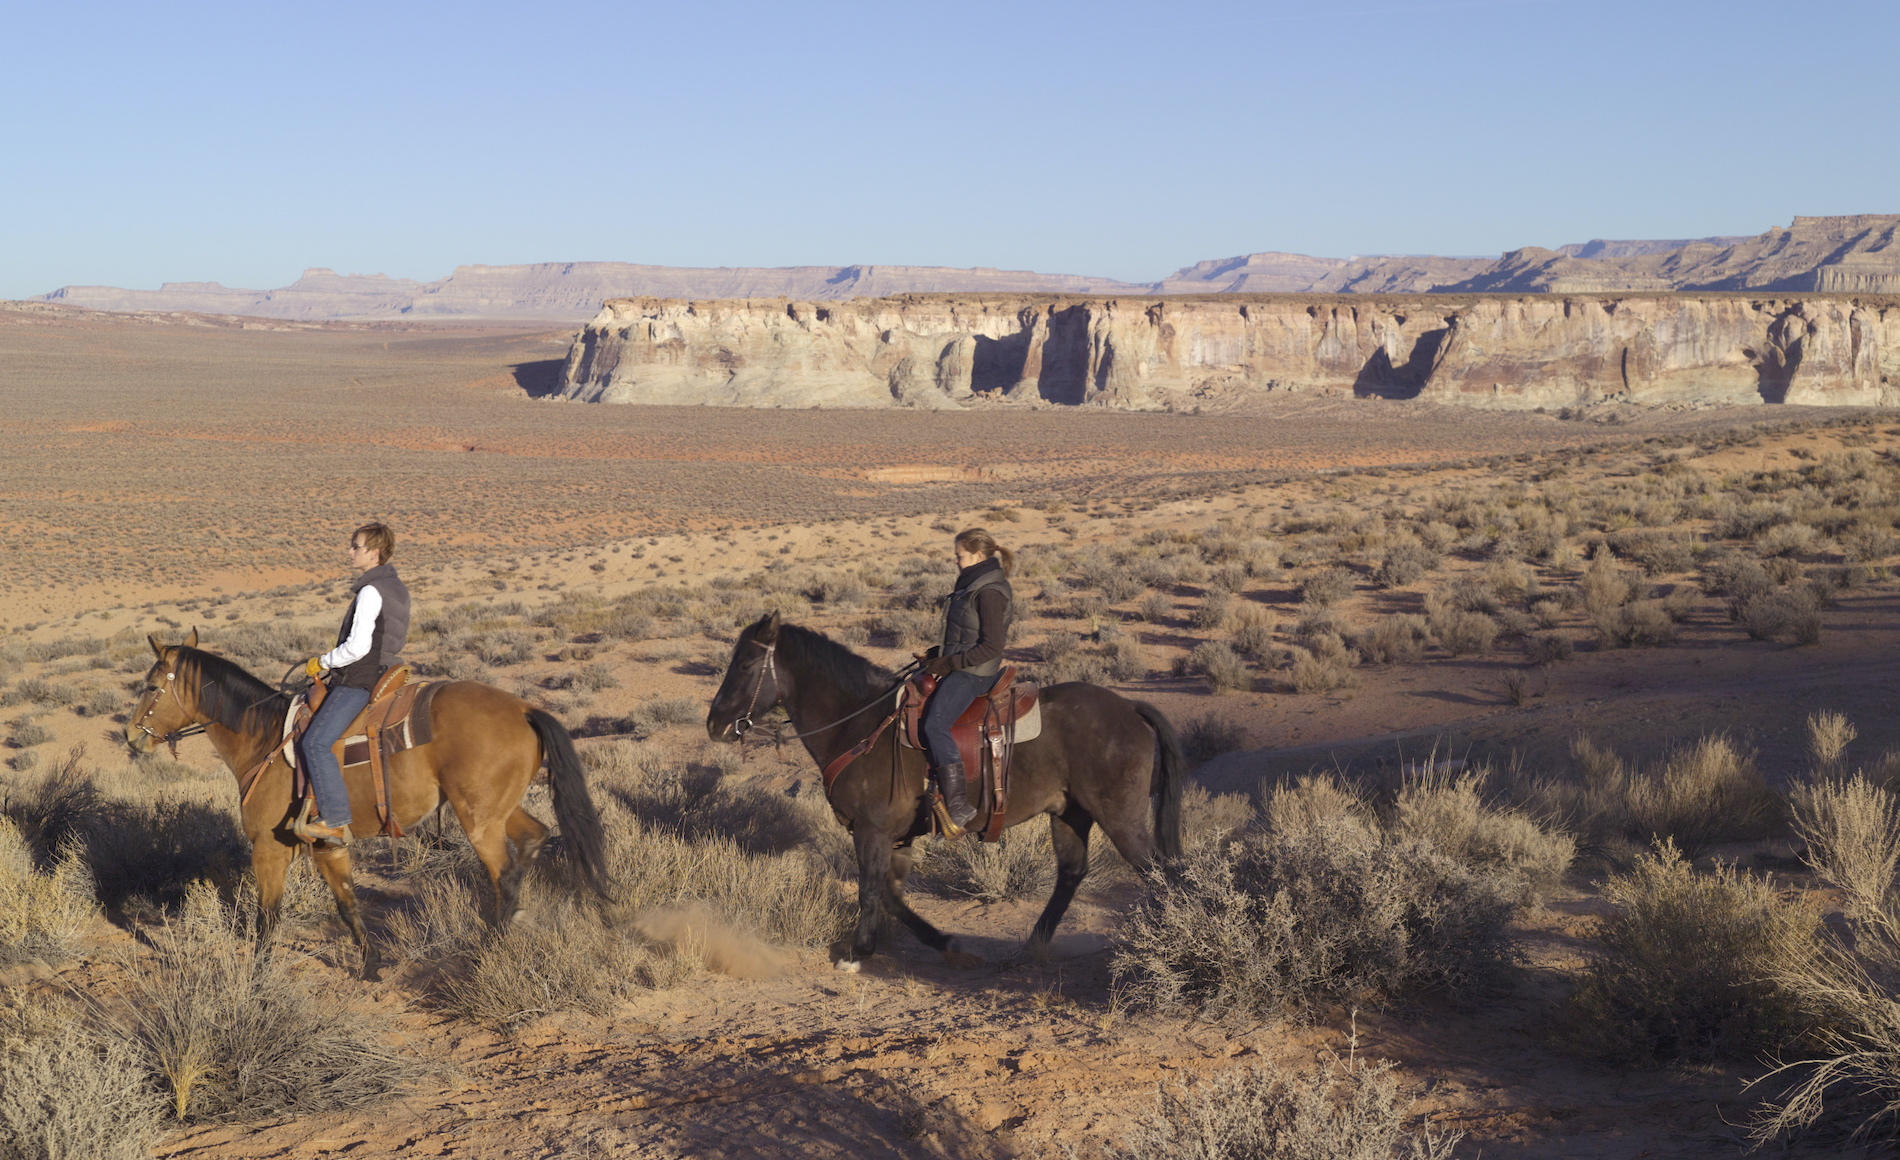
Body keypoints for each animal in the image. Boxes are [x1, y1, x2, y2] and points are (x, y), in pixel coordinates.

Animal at [128, 634, 600, 979]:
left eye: (151, 686)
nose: (132, 735)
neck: (263, 741)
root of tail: (524, 708)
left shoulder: (268, 848)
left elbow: (268, 916)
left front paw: (258, 972)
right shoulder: (327, 846)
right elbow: (347, 903)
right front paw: (371, 964)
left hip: (479, 821)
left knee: (505, 874)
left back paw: (487, 950)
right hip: (500, 810)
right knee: (535, 840)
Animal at [706, 618, 1178, 972]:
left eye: (746, 664)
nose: (715, 725)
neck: (857, 725)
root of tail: (1129, 708)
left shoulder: (872, 831)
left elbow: (870, 891)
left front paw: (857, 955)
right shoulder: (895, 837)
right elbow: (892, 896)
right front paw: (949, 945)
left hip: (1120, 817)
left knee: (1161, 873)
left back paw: (1169, 936)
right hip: (1070, 813)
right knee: (1072, 874)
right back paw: (1031, 948)